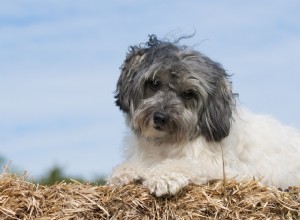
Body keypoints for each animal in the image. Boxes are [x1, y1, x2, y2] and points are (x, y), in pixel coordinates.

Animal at [108, 35, 300, 197]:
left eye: (188, 93)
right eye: (154, 83)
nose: (161, 117)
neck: (166, 144)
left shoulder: (228, 169)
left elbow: (189, 164)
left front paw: (163, 176)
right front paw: (125, 172)